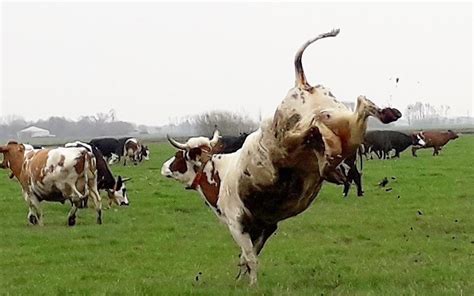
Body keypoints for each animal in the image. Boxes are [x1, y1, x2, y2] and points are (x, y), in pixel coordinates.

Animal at [160, 29, 400, 284]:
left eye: (179, 155)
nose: (164, 167)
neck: (219, 173)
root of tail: (302, 83)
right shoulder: (266, 225)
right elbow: (248, 257)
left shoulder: (238, 224)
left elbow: (250, 258)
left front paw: (252, 285)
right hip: (345, 127)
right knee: (360, 105)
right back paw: (379, 119)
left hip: (285, 139)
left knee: (307, 130)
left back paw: (321, 146)